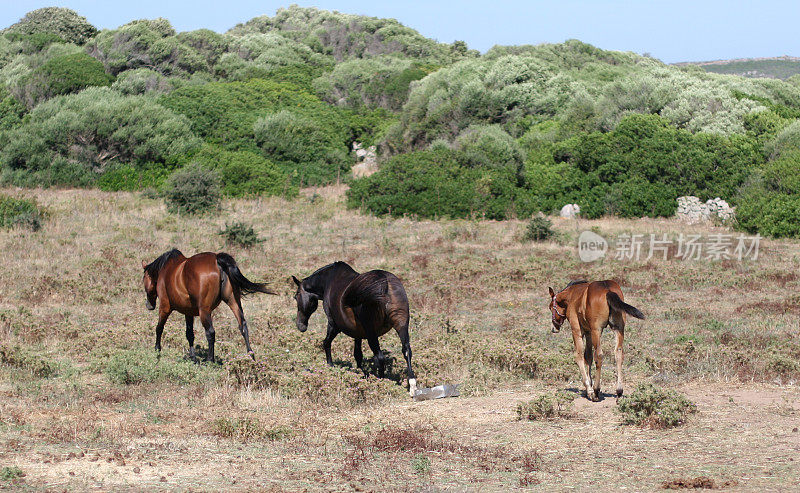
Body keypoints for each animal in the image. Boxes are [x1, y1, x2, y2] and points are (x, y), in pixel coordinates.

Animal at [144, 250, 278, 362]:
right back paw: (250, 356)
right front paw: (193, 357)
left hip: (204, 311)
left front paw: (157, 350)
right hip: (234, 302)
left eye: (144, 278)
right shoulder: (188, 312)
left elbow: (159, 328)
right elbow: (189, 334)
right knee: (243, 326)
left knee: (210, 332)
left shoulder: (165, 307)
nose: (149, 305)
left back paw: (210, 360)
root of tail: (217, 260)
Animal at [292, 262, 418, 396]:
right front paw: (361, 374)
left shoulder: (334, 325)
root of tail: (386, 285)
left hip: (371, 333)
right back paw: (412, 385)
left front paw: (330, 366)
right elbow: (358, 354)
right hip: (401, 325)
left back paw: (381, 383)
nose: (300, 325)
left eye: (296, 296)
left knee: (380, 357)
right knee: (406, 350)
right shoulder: (358, 332)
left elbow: (326, 342)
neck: (328, 281)